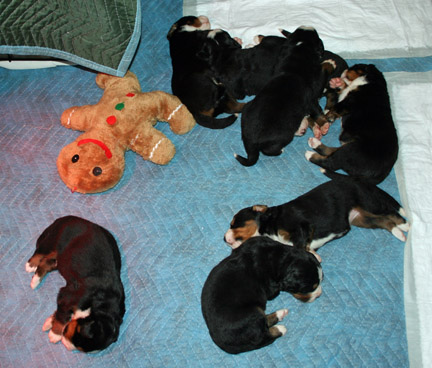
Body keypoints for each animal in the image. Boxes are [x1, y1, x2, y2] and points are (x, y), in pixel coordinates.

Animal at [26, 216, 125, 354]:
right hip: (53, 240)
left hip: (59, 259)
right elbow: (62, 316)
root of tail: (66, 218)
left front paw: (49, 322)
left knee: (46, 262)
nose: (66, 345)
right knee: (40, 252)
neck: (103, 306)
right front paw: (55, 334)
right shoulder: (70, 296)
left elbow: (60, 313)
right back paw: (31, 266)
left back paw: (35, 280)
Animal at [224, 175, 410, 258]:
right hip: (362, 219)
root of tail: (359, 180)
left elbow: (299, 244)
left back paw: (405, 226)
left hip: (367, 202)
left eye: (234, 222)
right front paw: (315, 255)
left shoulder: (301, 226)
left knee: (390, 212)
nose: (224, 238)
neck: (269, 225)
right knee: (384, 220)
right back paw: (399, 233)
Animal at [235, 25, 332, 165]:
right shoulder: (313, 94)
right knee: (269, 150)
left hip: (247, 109)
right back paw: (281, 149)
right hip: (283, 135)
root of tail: (251, 142)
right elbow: (317, 112)